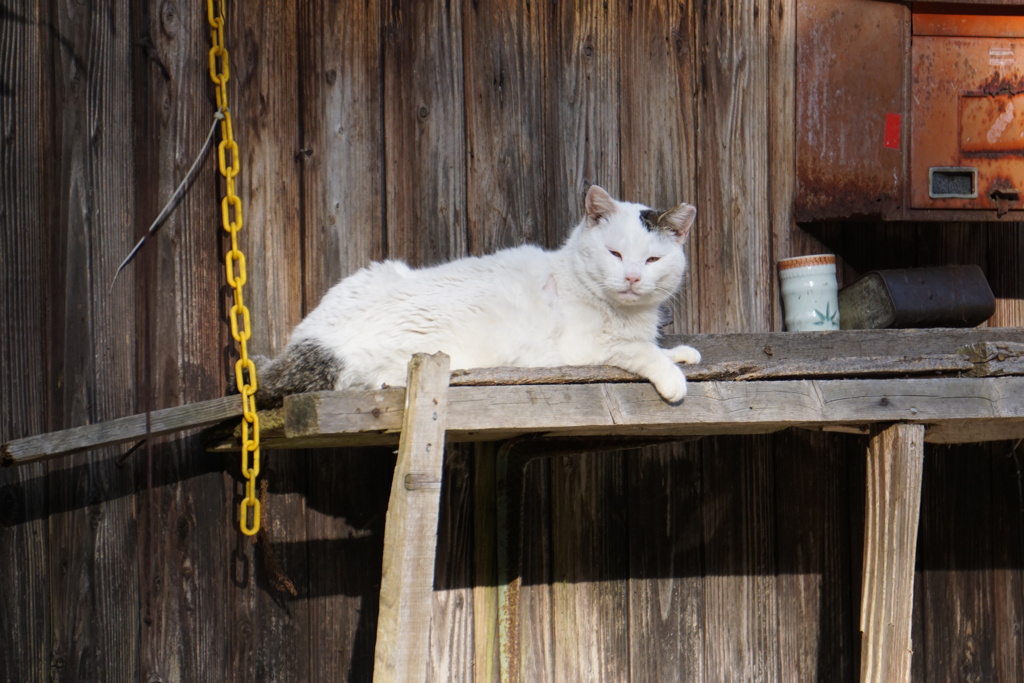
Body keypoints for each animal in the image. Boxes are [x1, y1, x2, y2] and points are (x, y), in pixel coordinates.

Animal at [254, 184, 700, 403]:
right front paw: (670, 374)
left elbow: (651, 345)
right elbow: (635, 350)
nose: (631, 278)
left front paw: (677, 352)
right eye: (615, 254)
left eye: (652, 259)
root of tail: (313, 343)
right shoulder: (581, 347)